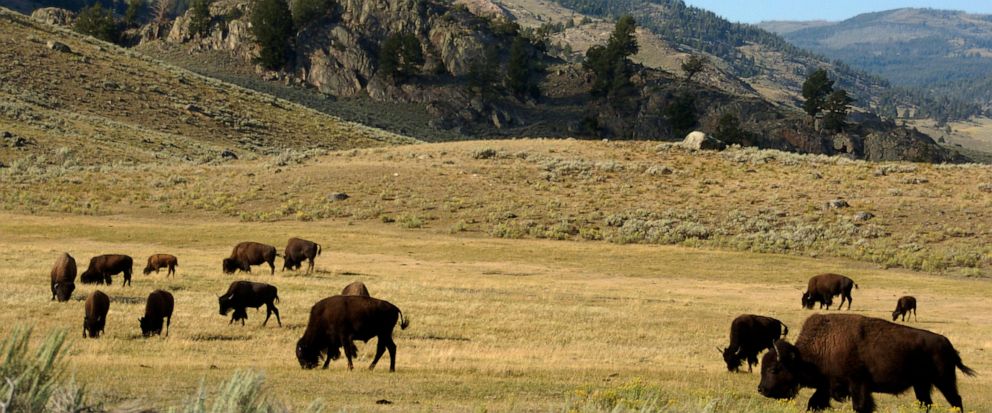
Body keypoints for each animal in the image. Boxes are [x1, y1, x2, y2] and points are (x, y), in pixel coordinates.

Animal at [760, 312, 976, 412]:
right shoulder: (827, 386)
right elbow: (814, 403)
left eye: (774, 369)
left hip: (944, 380)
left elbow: (861, 406)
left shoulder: (858, 384)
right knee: (926, 403)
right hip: (921, 384)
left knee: (956, 400)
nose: (761, 389)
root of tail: (947, 344)